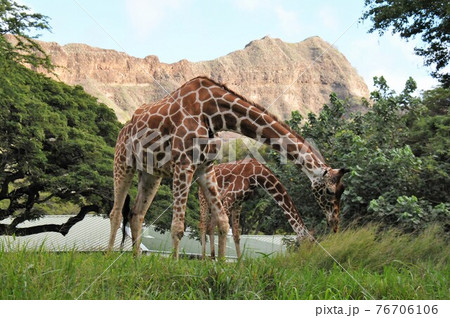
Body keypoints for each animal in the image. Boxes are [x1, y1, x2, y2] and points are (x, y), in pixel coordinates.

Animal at [108, 76, 348, 258]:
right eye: (329, 192)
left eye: (342, 191)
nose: (335, 224)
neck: (213, 113)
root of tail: (124, 128)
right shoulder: (184, 163)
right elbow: (178, 227)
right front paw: (174, 269)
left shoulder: (205, 167)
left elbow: (224, 224)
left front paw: (222, 268)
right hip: (122, 162)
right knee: (116, 213)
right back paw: (110, 256)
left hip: (151, 174)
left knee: (137, 213)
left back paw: (137, 260)